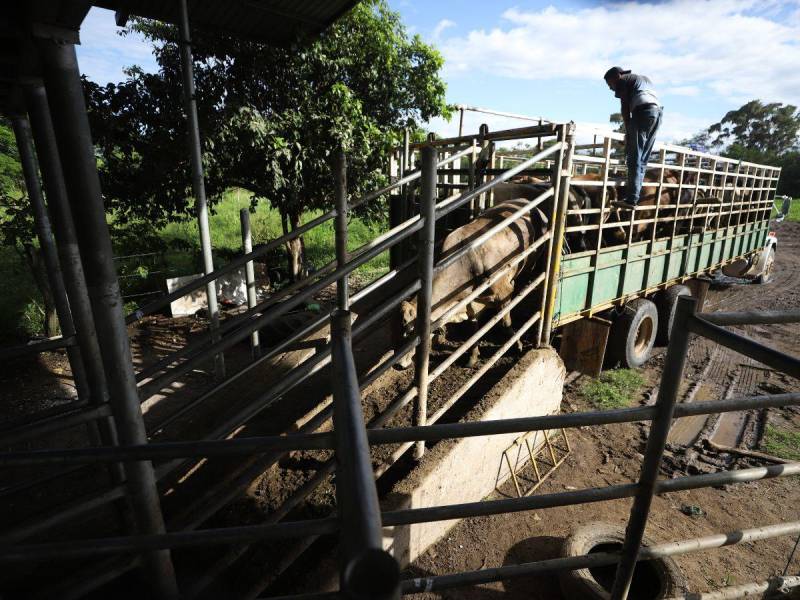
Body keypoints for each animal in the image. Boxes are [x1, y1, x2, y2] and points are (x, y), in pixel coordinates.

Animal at [390, 121, 780, 372]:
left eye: (413, 337)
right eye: (400, 330)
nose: (398, 366)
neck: (466, 260)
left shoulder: (503, 293)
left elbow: (503, 322)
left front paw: (510, 345)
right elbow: (474, 328)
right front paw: (469, 354)